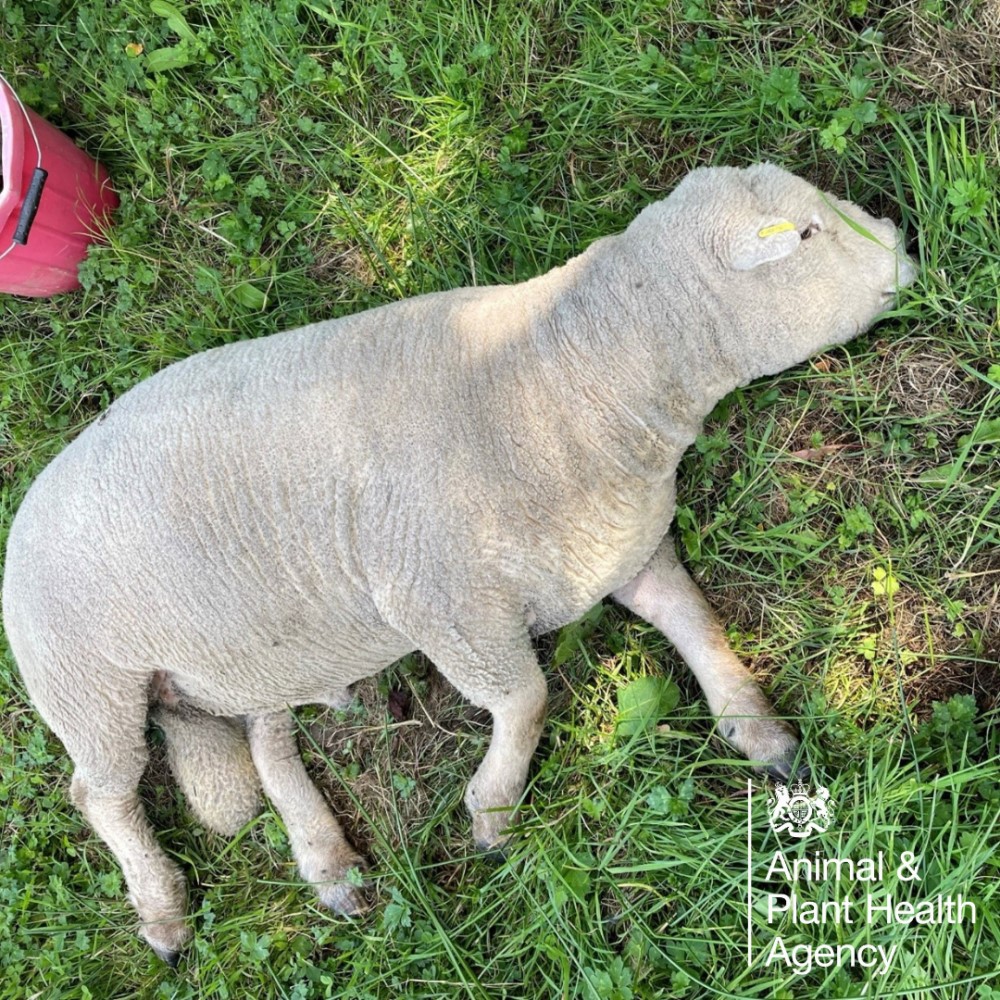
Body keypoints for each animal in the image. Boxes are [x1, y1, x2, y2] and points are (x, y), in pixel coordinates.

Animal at [0, 164, 916, 960]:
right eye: (807, 233)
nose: (905, 243)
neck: (567, 376)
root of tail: (27, 499)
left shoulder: (617, 547)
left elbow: (695, 622)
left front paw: (759, 729)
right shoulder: (442, 603)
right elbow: (528, 698)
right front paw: (493, 810)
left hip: (258, 650)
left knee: (265, 744)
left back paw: (328, 867)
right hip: (88, 685)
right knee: (102, 796)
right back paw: (163, 912)